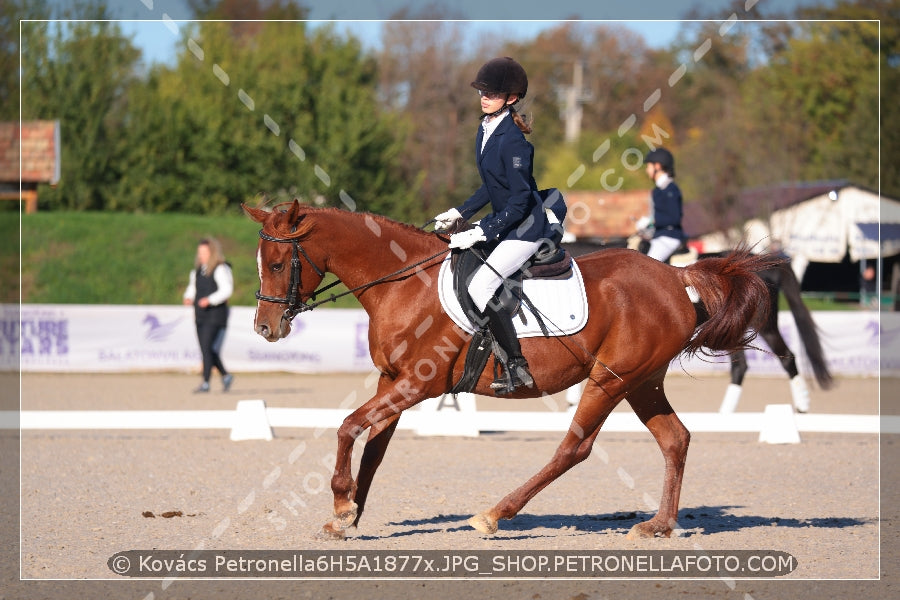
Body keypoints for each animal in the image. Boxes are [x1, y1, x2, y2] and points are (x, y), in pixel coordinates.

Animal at [243, 202, 776, 540]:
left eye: (278, 263)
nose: (265, 329)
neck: (403, 284)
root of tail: (674, 276)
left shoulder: (419, 383)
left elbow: (347, 426)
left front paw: (339, 506)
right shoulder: (391, 381)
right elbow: (374, 448)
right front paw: (350, 516)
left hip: (610, 379)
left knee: (575, 448)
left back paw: (494, 515)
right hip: (641, 380)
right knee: (675, 439)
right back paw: (658, 525)